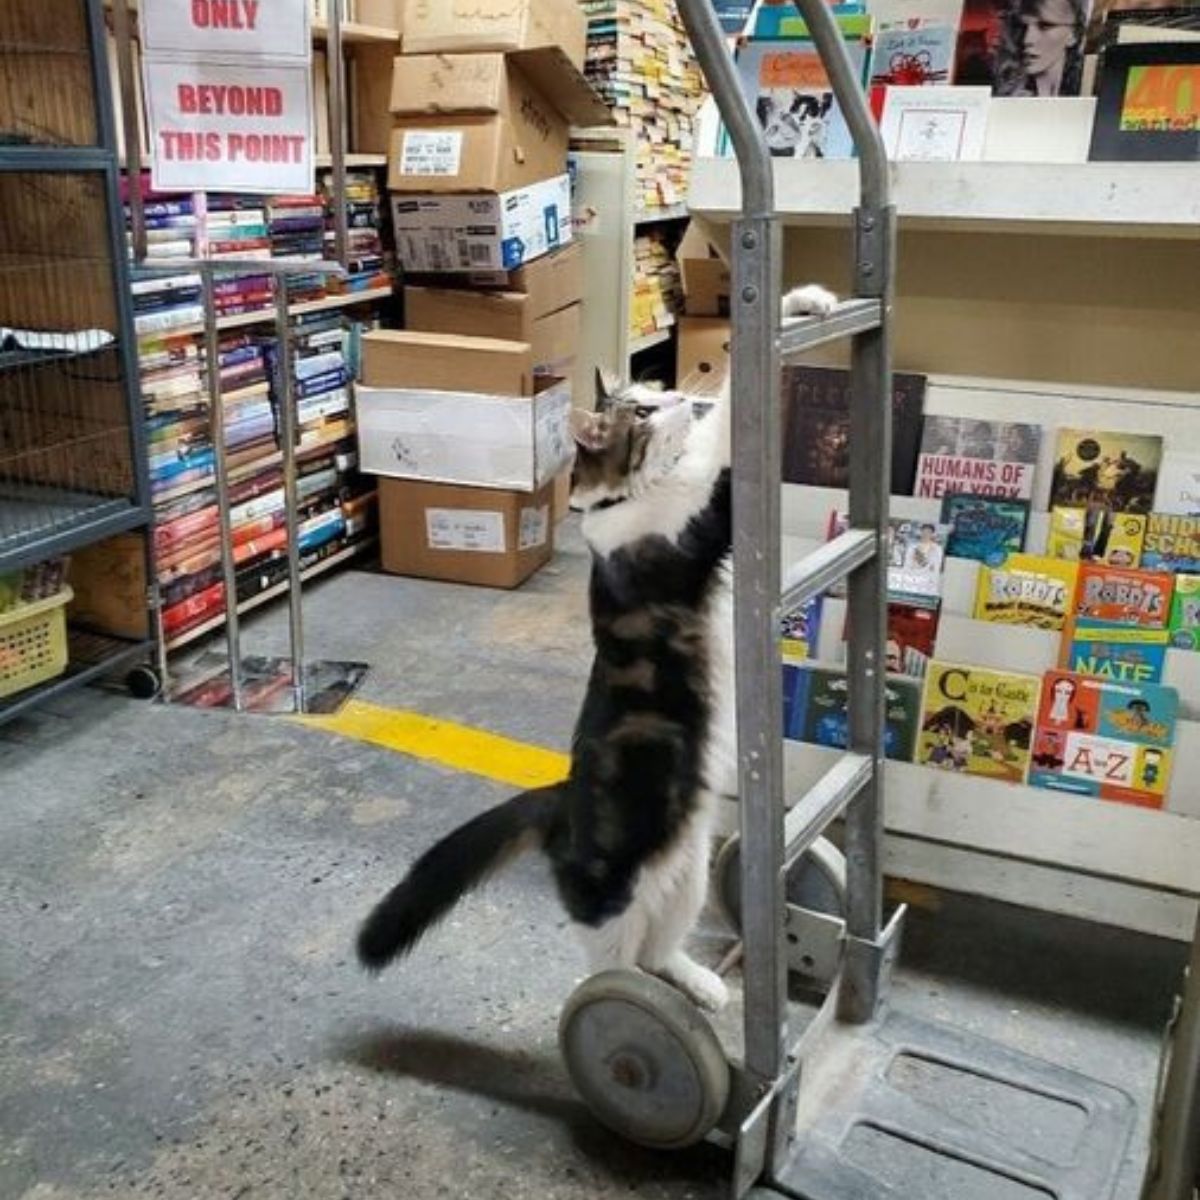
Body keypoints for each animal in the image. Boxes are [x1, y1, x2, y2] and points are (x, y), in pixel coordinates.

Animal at [360, 280, 840, 1012]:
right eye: (641, 411)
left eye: (653, 387)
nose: (679, 397)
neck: (622, 502)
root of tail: (558, 798)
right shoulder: (704, 509)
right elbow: (729, 420)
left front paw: (806, 303)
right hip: (617, 897)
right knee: (612, 970)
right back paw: (631, 1012)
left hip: (686, 870)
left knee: (660, 952)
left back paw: (702, 987)